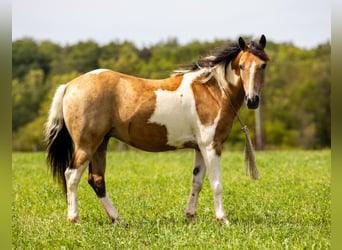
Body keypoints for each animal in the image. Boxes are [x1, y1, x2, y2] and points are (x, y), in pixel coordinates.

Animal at [44, 34, 270, 225]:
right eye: (241, 66)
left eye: (263, 65)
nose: (252, 100)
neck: (212, 90)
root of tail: (70, 85)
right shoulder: (211, 146)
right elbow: (216, 184)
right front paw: (223, 220)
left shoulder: (200, 148)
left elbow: (196, 182)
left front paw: (190, 217)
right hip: (87, 145)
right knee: (72, 176)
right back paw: (75, 219)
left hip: (101, 144)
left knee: (97, 180)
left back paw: (118, 220)